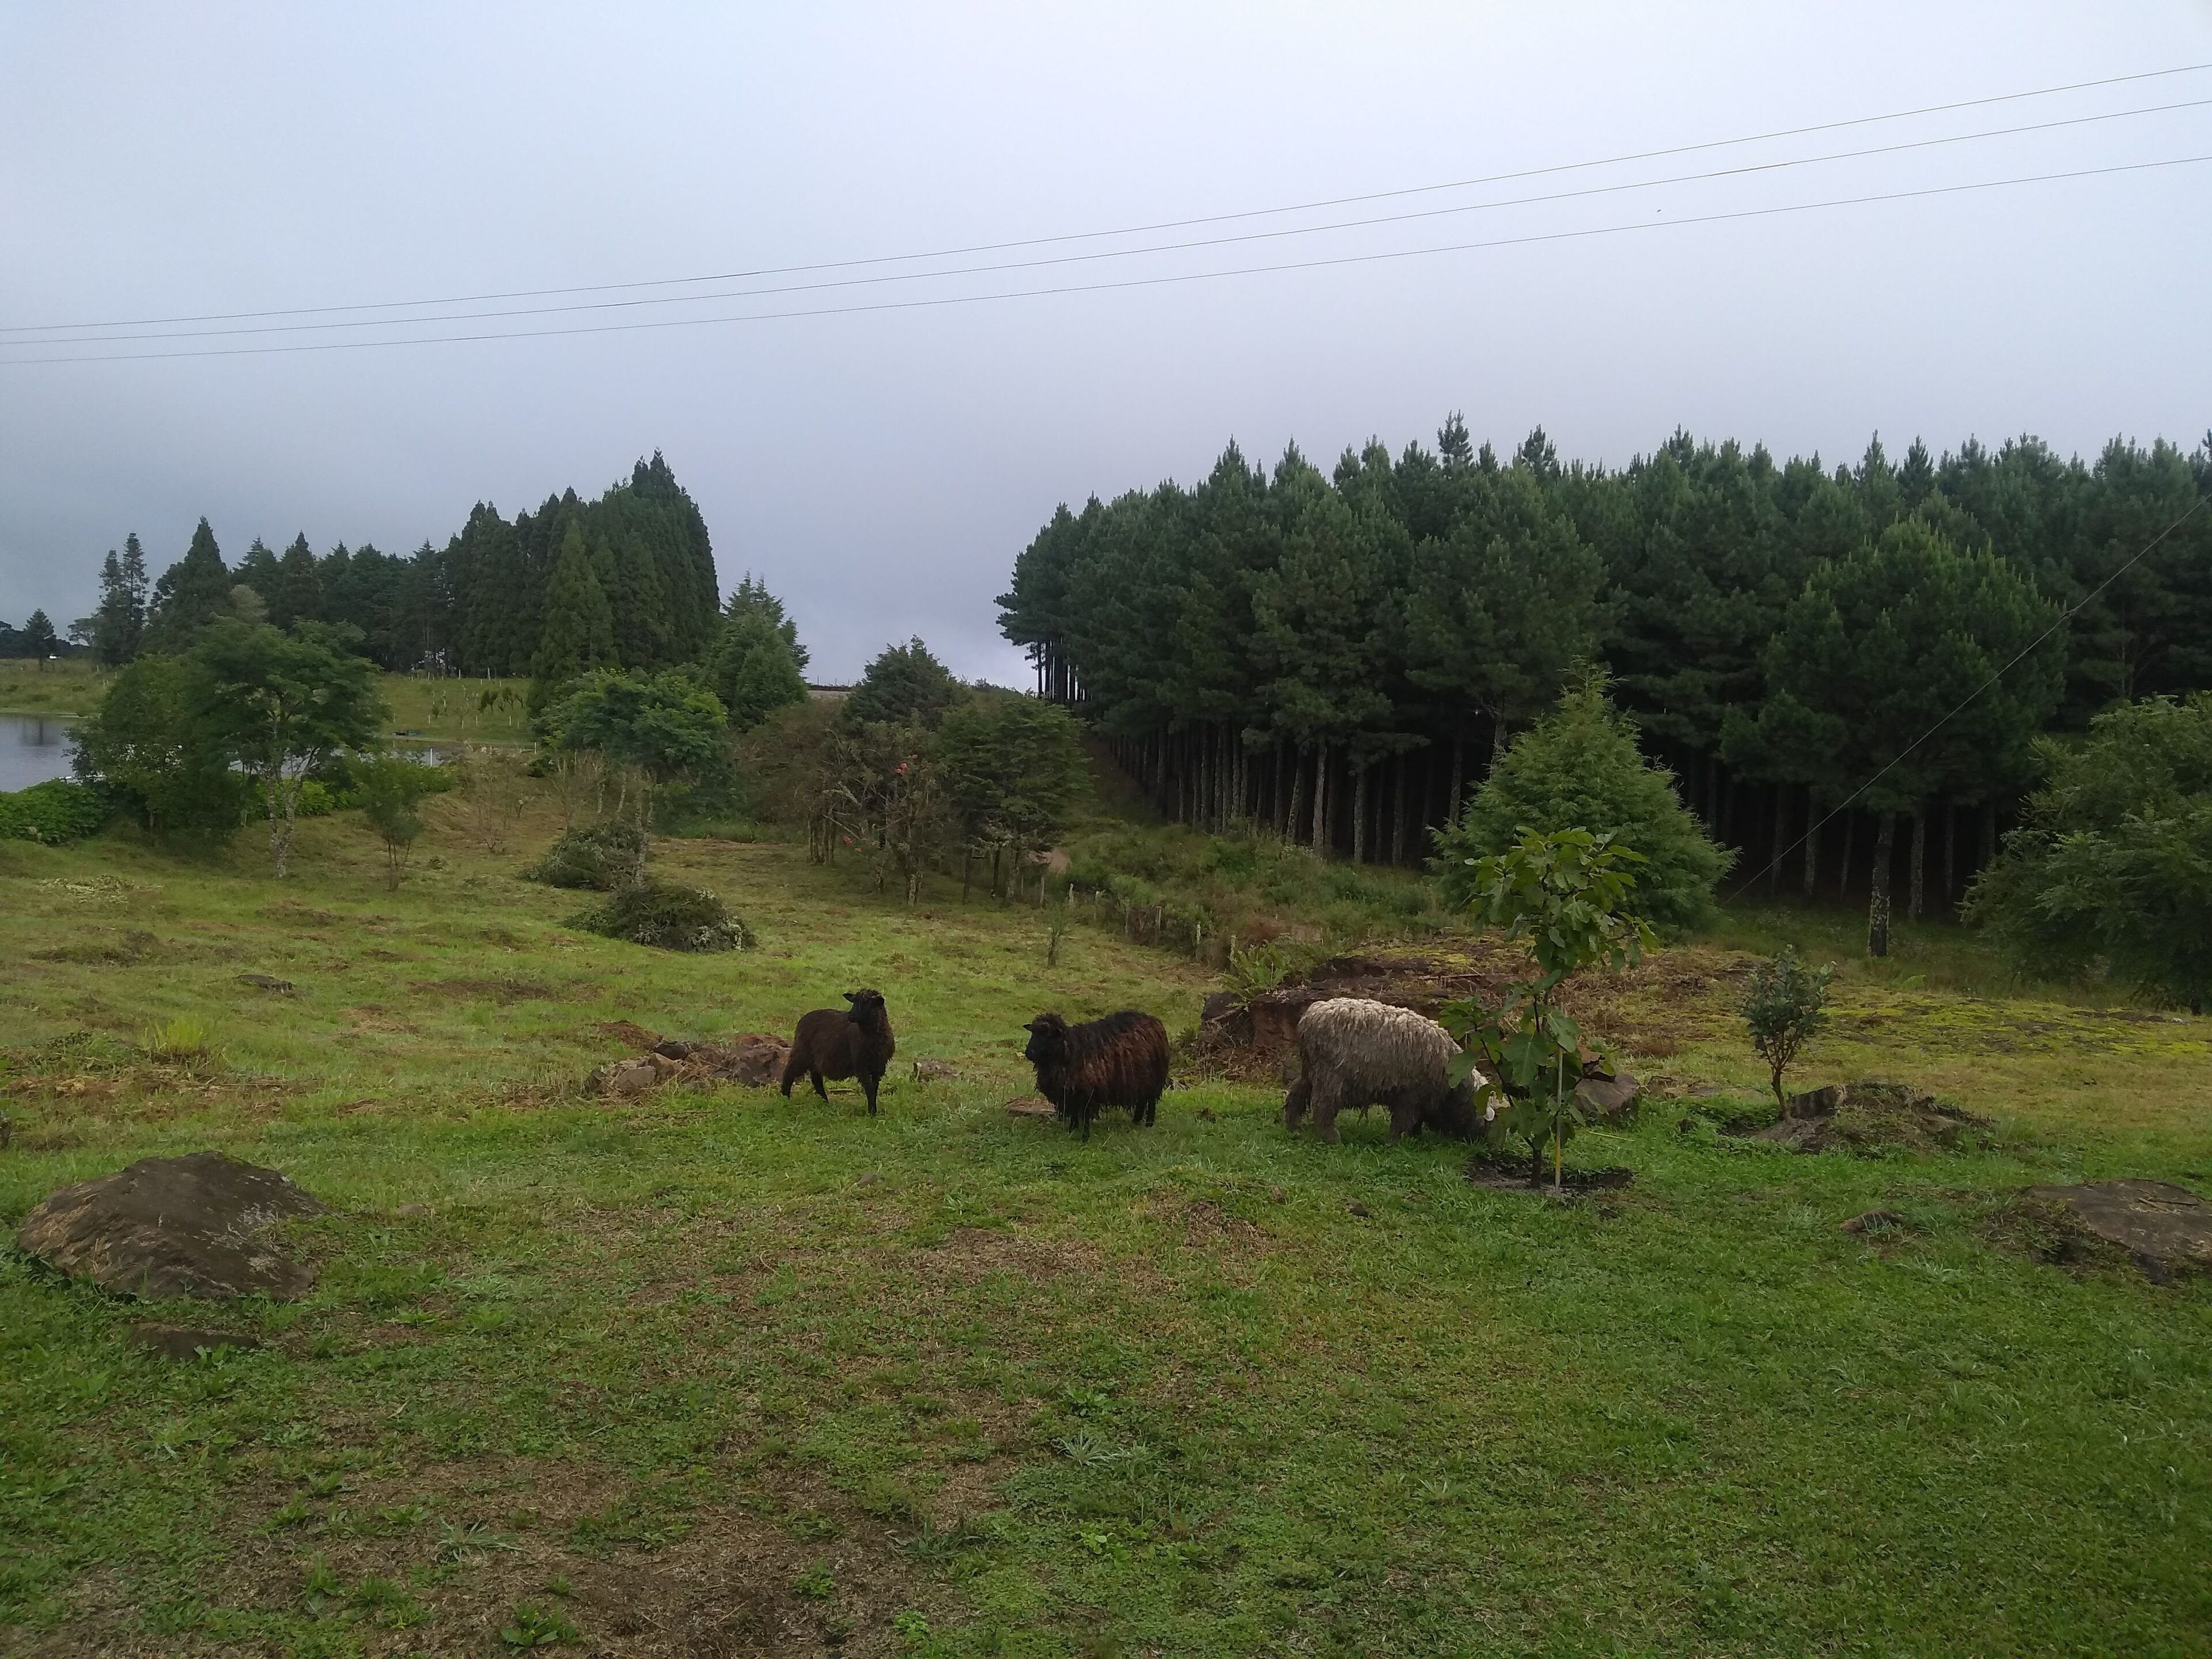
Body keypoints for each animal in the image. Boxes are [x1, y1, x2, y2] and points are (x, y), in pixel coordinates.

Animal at [780, 989, 897, 1116]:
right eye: (854, 1001)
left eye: (869, 1003)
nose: (851, 1016)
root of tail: (802, 1020)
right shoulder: (860, 1064)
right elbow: (869, 1087)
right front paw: (872, 1112)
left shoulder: (879, 1066)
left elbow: (874, 1088)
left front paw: (873, 1110)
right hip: (802, 1052)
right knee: (789, 1072)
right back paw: (785, 1098)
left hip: (814, 1059)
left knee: (816, 1079)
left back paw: (825, 1102)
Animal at [1021, 1010, 1170, 1140]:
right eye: (1033, 1033)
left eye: (1048, 1035)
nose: (1029, 1053)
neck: (1069, 1050)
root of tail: (1155, 1021)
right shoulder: (1071, 1092)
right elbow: (1074, 1113)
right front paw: (1072, 1129)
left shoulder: (1088, 1090)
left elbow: (1086, 1115)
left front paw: (1085, 1137)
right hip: (1141, 1079)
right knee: (1142, 1100)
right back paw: (1136, 1121)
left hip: (1155, 1077)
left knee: (1151, 1101)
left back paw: (1149, 1124)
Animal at [1282, 997, 1485, 1145]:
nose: (1478, 1142)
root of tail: (1309, 1017)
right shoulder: (1411, 1097)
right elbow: (1402, 1123)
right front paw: (1394, 1143)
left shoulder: (1418, 1100)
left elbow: (1415, 1122)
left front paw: (1415, 1138)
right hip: (1330, 1076)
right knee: (1323, 1107)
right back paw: (1333, 1139)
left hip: (1312, 1070)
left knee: (1297, 1092)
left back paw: (1293, 1126)